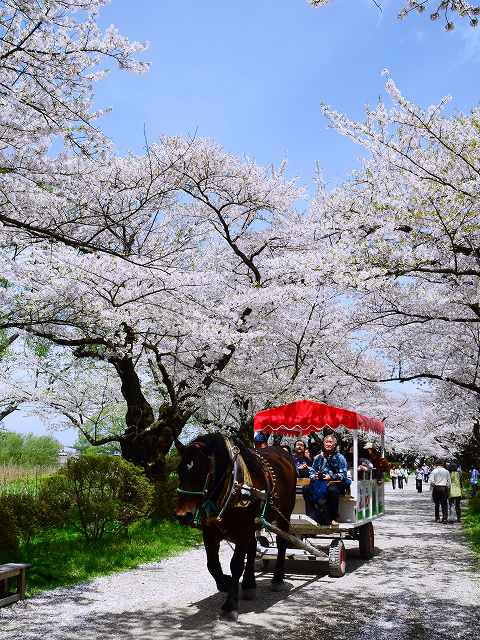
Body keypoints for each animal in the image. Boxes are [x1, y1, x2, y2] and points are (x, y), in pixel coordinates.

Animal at [175, 433, 297, 621]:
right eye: (179, 471)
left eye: (201, 472)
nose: (183, 515)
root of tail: (282, 451)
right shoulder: (210, 531)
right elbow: (212, 564)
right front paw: (225, 582)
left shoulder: (242, 530)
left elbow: (236, 564)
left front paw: (230, 605)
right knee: (253, 547)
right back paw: (248, 583)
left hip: (284, 514)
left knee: (281, 543)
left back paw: (277, 579)